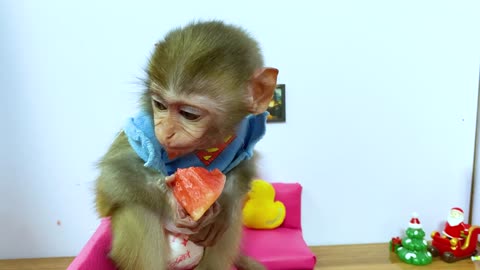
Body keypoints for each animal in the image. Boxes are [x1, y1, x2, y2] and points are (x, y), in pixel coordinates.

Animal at [94, 21, 278, 270]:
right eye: (159, 105)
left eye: (189, 114)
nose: (166, 131)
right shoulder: (144, 129)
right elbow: (113, 174)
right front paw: (171, 206)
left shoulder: (246, 131)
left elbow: (244, 165)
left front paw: (225, 206)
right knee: (137, 208)